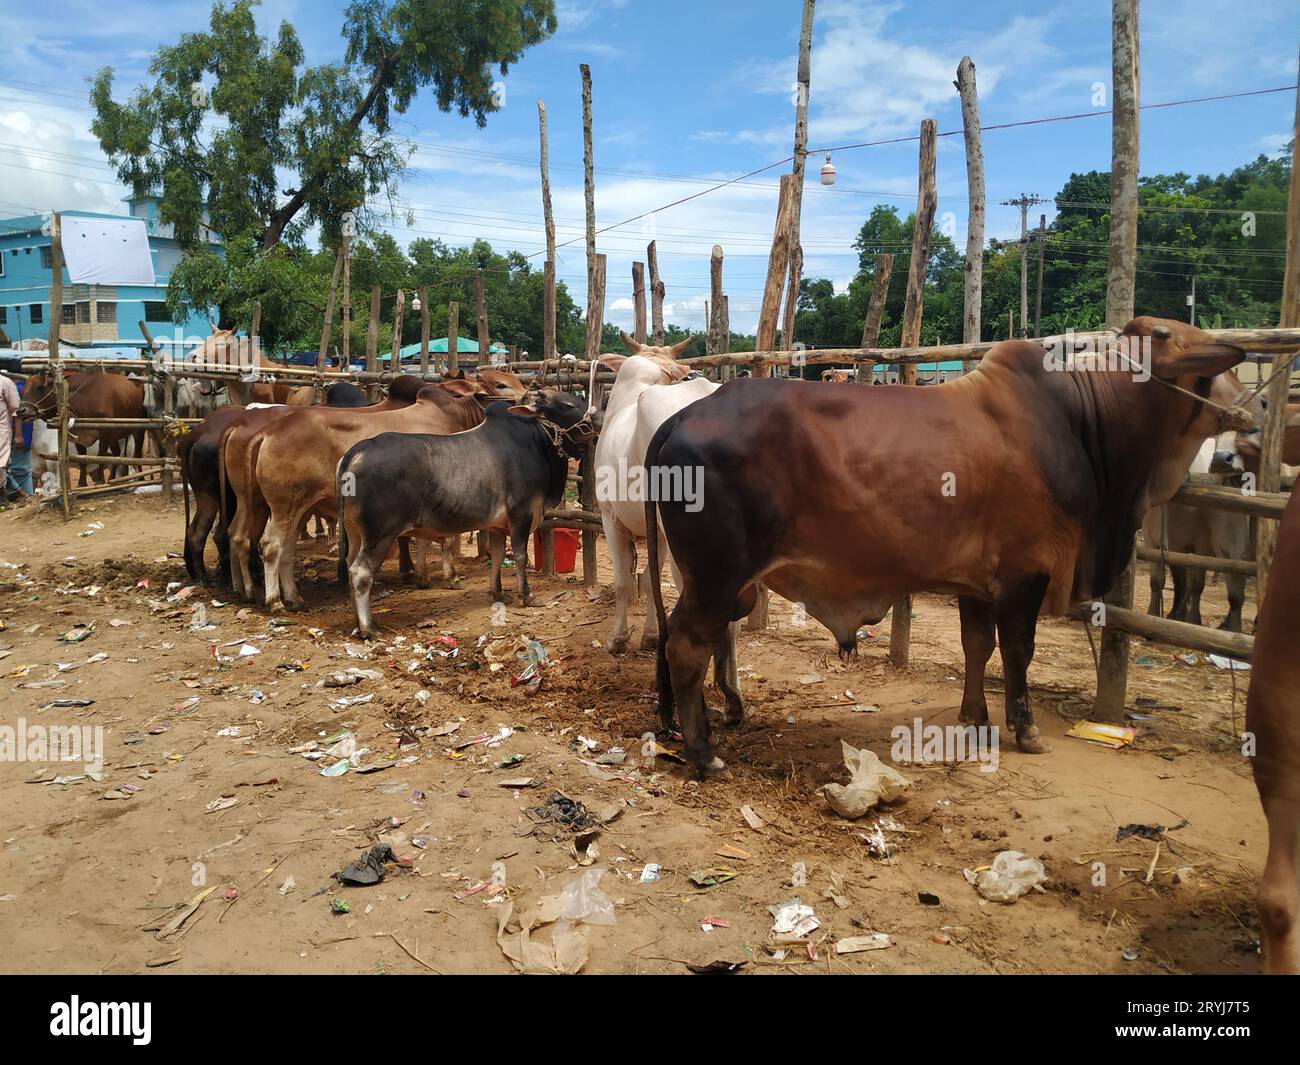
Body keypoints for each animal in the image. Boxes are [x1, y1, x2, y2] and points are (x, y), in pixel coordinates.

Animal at [340, 392, 595, 637]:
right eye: (566, 405)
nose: (597, 418)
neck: (536, 441)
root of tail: (358, 451)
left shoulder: (497, 526)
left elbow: (498, 556)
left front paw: (498, 593)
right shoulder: (521, 515)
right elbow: (521, 556)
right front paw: (528, 596)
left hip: (355, 534)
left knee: (350, 566)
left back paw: (356, 621)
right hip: (380, 535)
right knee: (360, 573)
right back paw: (369, 627)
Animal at [644, 315, 1253, 775]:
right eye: (1171, 336)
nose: (1248, 397)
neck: (1081, 423)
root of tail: (685, 413)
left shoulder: (977, 583)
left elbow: (977, 647)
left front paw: (975, 717)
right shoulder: (1026, 574)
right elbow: (1017, 652)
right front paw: (1025, 729)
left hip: (713, 580)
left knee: (679, 637)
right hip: (718, 575)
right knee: (686, 645)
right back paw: (703, 753)